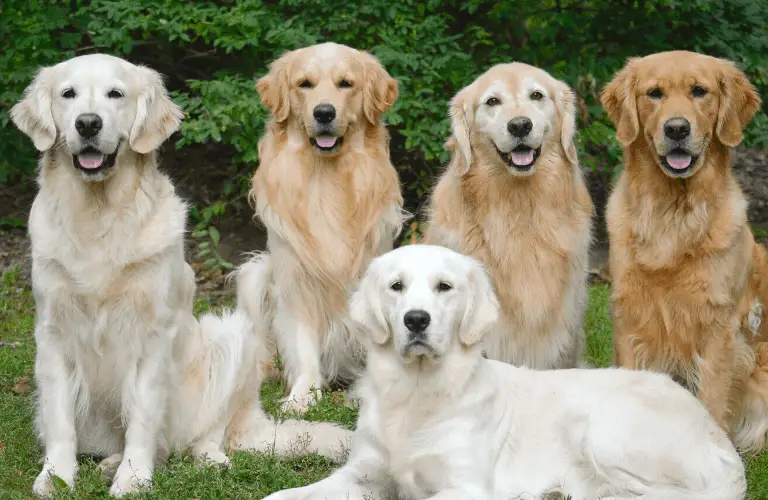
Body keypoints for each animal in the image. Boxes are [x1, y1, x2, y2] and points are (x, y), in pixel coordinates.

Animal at [10, 52, 352, 498]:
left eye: (115, 94)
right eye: (68, 94)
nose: (87, 124)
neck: (98, 216)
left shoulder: (153, 336)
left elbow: (142, 417)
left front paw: (133, 478)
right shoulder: (53, 334)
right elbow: (59, 420)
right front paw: (56, 476)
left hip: (232, 338)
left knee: (200, 437)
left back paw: (207, 459)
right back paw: (109, 462)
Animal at [262, 244, 744, 498]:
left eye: (444, 287)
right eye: (396, 286)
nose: (416, 320)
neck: (417, 394)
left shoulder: (467, 486)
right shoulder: (359, 472)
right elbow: (286, 494)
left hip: (602, 430)